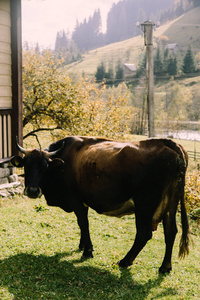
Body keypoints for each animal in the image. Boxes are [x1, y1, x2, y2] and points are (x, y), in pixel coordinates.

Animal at [10, 137, 189, 274]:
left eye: (45, 166)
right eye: (26, 165)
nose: (33, 191)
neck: (63, 165)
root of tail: (169, 144)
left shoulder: (76, 199)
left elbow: (83, 223)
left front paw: (88, 251)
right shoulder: (84, 201)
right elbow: (83, 224)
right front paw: (82, 245)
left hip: (145, 205)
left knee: (143, 234)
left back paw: (125, 261)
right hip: (170, 205)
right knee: (171, 232)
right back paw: (165, 267)